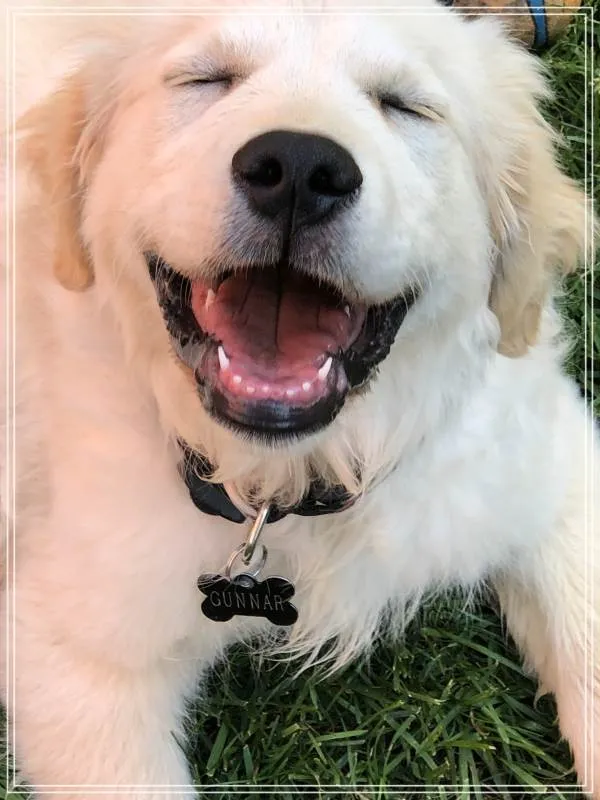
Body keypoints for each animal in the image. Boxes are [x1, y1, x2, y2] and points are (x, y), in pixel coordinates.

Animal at [1, 0, 598, 796]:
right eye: (206, 78)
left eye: (406, 106)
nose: (298, 169)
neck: (291, 478)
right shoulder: (75, 653)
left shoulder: (544, 463)